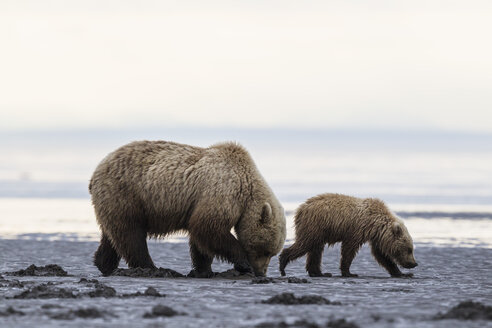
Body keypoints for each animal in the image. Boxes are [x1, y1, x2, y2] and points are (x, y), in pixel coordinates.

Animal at [90, 141, 286, 276]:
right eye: (265, 251)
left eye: (272, 253)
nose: (262, 272)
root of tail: (96, 171)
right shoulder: (223, 191)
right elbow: (208, 227)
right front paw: (243, 263)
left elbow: (202, 239)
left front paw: (204, 269)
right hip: (126, 194)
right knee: (131, 235)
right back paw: (151, 267)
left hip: (114, 202)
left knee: (112, 235)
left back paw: (104, 264)